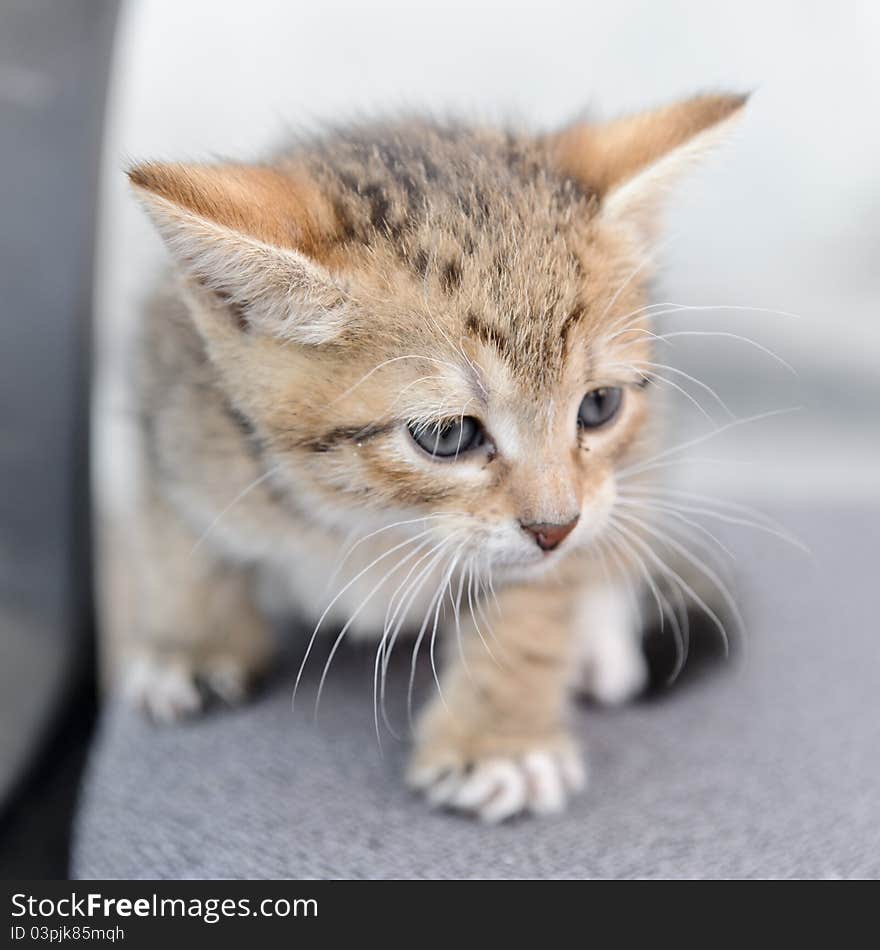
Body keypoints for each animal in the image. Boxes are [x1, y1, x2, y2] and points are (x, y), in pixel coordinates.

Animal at [117, 98, 744, 824]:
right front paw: (189, 644)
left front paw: (499, 741)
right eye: (448, 437)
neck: (372, 523)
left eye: (598, 406)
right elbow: (178, 546)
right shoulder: (176, 413)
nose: (556, 528)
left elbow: (532, 610)